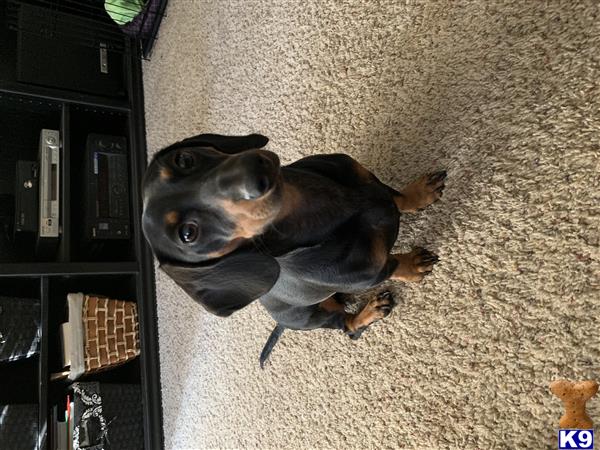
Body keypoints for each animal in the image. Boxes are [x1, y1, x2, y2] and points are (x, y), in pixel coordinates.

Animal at [142, 134, 446, 366]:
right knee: (347, 327)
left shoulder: (371, 183)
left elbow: (397, 197)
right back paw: (370, 310)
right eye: (188, 234)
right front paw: (414, 264)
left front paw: (420, 193)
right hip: (314, 315)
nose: (254, 170)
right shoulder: (374, 271)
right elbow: (394, 266)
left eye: (184, 159)